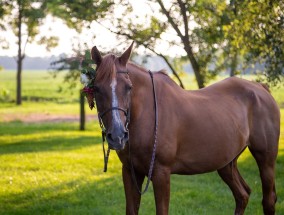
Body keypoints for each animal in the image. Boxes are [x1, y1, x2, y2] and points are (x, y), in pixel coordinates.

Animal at [84, 42, 280, 215]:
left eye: (129, 87)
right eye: (97, 88)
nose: (117, 136)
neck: (147, 114)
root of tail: (261, 88)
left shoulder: (161, 173)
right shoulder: (130, 172)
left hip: (266, 160)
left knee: (268, 201)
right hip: (227, 163)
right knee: (242, 195)